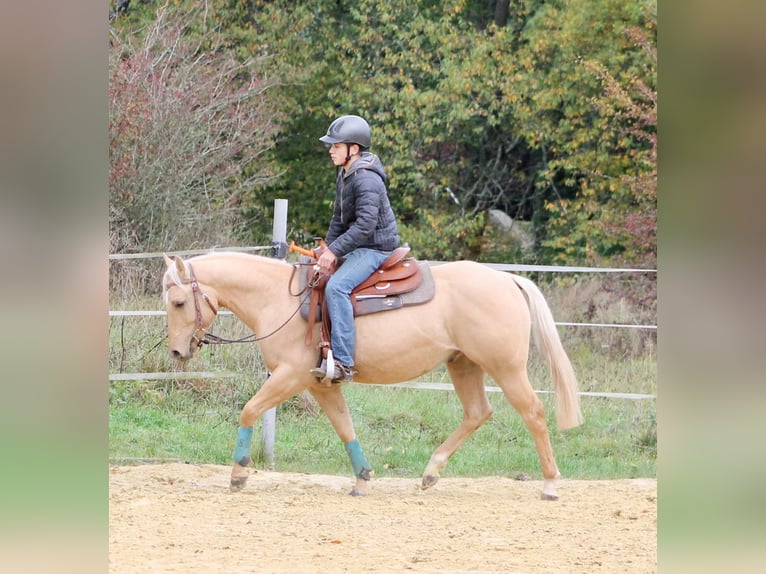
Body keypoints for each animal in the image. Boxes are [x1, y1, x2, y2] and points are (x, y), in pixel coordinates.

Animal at [162, 251, 583, 500]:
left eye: (179, 302)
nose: (178, 351)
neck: (277, 299)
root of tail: (508, 279)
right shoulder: (319, 383)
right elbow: (344, 425)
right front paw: (362, 477)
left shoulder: (289, 377)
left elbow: (249, 410)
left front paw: (238, 474)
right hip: (463, 364)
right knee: (478, 413)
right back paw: (430, 473)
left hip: (505, 368)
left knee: (533, 412)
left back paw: (549, 484)